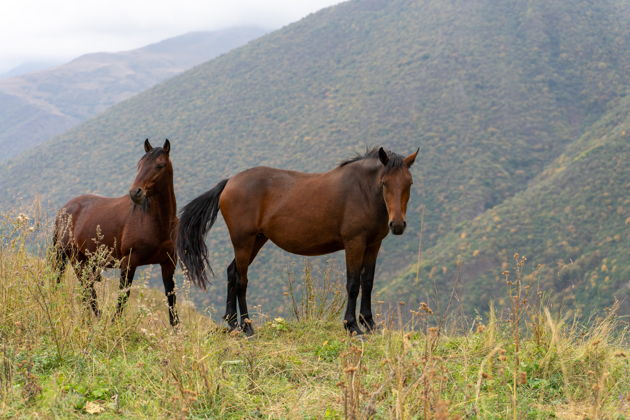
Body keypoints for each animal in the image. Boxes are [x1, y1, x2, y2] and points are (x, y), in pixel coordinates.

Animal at [52, 139, 179, 324]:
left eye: (160, 165)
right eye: (140, 165)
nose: (135, 192)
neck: (156, 223)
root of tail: (64, 209)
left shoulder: (168, 264)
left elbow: (172, 304)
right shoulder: (128, 263)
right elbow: (122, 299)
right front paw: (114, 325)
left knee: (87, 289)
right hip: (73, 257)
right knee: (85, 288)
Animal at [177, 148, 420, 334]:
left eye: (409, 183)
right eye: (384, 183)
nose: (397, 224)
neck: (362, 191)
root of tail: (229, 182)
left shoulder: (373, 244)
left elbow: (367, 282)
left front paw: (369, 324)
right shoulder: (355, 243)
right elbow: (353, 284)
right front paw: (352, 326)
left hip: (256, 240)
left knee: (232, 272)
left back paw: (233, 323)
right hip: (243, 241)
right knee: (241, 280)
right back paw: (247, 327)